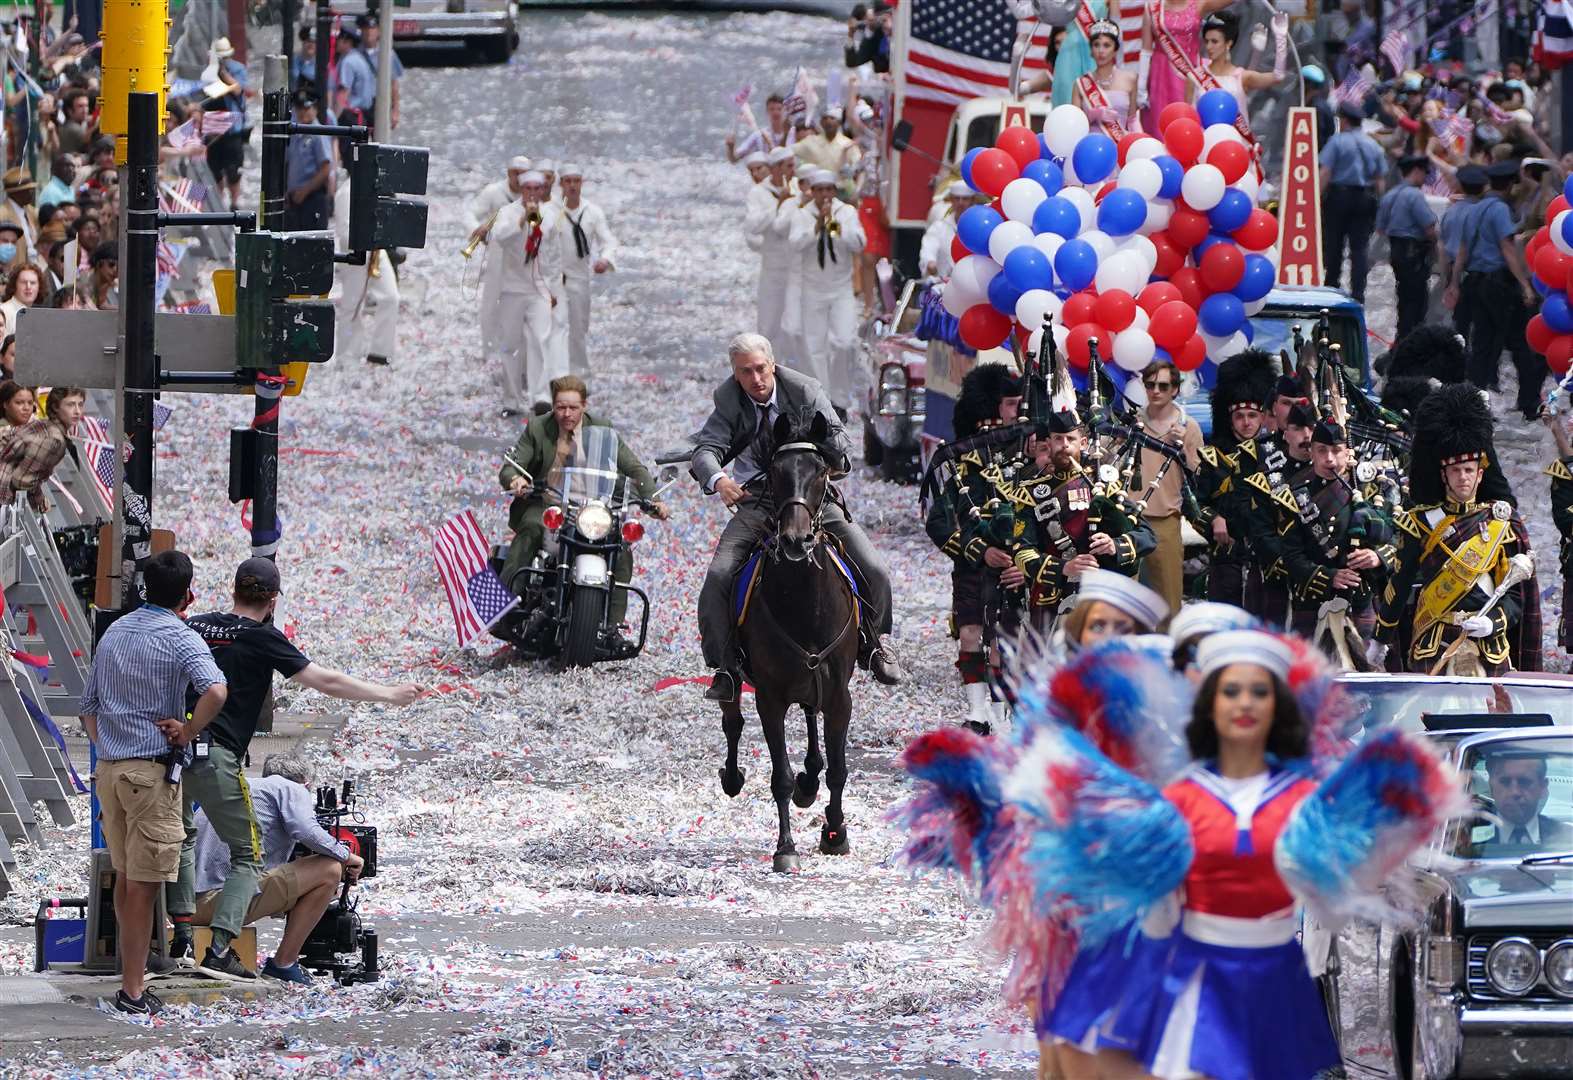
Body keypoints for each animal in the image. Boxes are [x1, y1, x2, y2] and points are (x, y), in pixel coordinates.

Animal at [717, 408, 855, 874]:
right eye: (775, 474)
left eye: (821, 471)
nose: (797, 540)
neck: (805, 601)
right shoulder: (771, 697)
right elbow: (778, 775)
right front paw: (786, 847)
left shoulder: (839, 695)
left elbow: (838, 769)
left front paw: (835, 832)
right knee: (732, 720)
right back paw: (733, 776)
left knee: (812, 725)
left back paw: (809, 783)